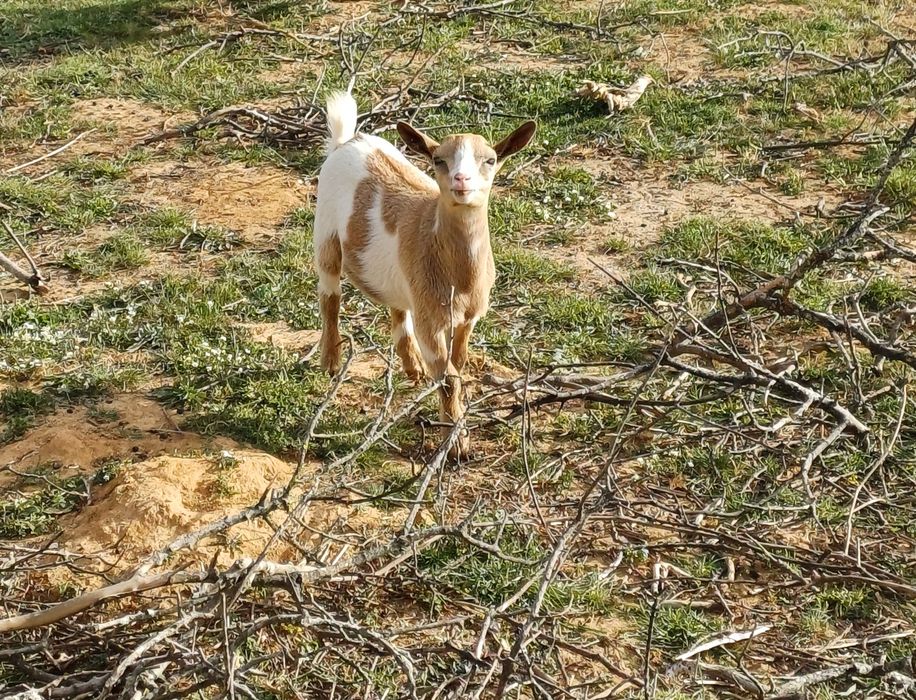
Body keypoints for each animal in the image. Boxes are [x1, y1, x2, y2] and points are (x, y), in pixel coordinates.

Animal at [313, 91, 536, 457]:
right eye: (438, 160)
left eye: (489, 160)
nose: (461, 180)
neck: (459, 276)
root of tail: (349, 140)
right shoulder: (431, 321)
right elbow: (448, 379)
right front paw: (457, 444)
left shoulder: (467, 317)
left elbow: (458, 365)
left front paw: (455, 427)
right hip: (326, 235)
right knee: (330, 296)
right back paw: (331, 362)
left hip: (402, 280)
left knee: (397, 307)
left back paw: (412, 366)